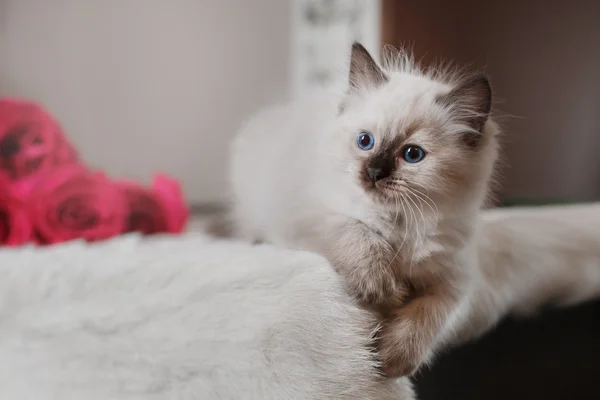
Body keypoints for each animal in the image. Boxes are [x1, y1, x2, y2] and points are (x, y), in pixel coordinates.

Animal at [227, 43, 500, 378]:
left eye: (413, 154)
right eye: (365, 141)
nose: (374, 172)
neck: (400, 224)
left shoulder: (455, 281)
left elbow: (428, 316)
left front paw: (390, 360)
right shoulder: (310, 216)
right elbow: (356, 230)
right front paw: (381, 290)